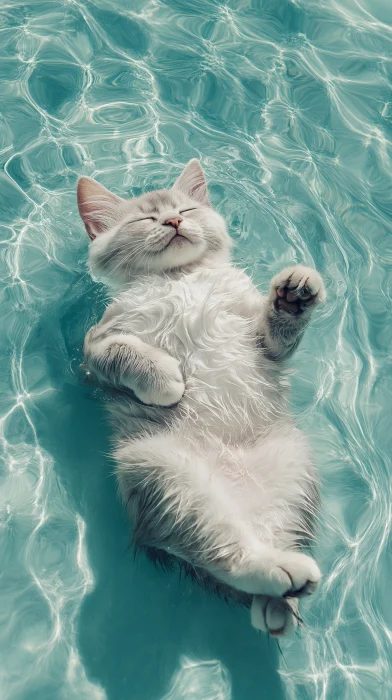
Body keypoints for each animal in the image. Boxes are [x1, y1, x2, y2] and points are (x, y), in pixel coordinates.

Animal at [76, 160, 324, 640]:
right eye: (145, 219)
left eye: (186, 209)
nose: (173, 222)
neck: (178, 279)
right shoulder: (92, 350)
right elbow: (121, 351)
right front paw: (166, 380)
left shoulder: (262, 340)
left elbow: (276, 334)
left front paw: (292, 299)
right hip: (168, 477)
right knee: (226, 552)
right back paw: (281, 579)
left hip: (294, 469)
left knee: (263, 546)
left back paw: (280, 600)